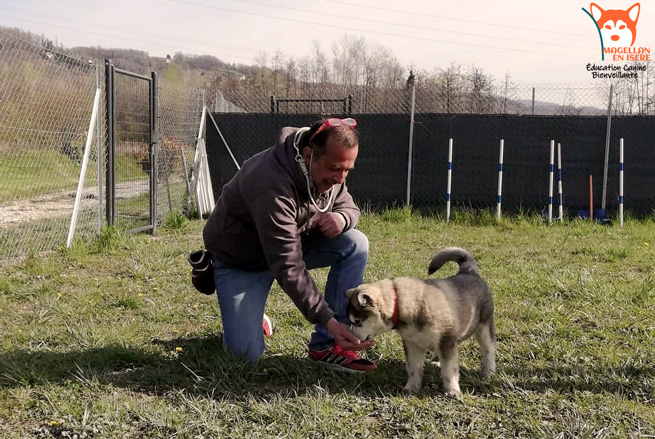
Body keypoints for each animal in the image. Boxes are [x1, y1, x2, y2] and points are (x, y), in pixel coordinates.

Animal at [346, 249, 494, 398]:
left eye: (357, 322)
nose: (352, 338)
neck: (402, 304)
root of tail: (469, 271)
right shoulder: (412, 344)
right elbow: (413, 368)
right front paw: (411, 388)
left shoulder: (446, 340)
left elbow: (448, 370)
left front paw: (452, 391)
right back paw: (436, 360)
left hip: (484, 326)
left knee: (489, 349)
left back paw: (489, 372)